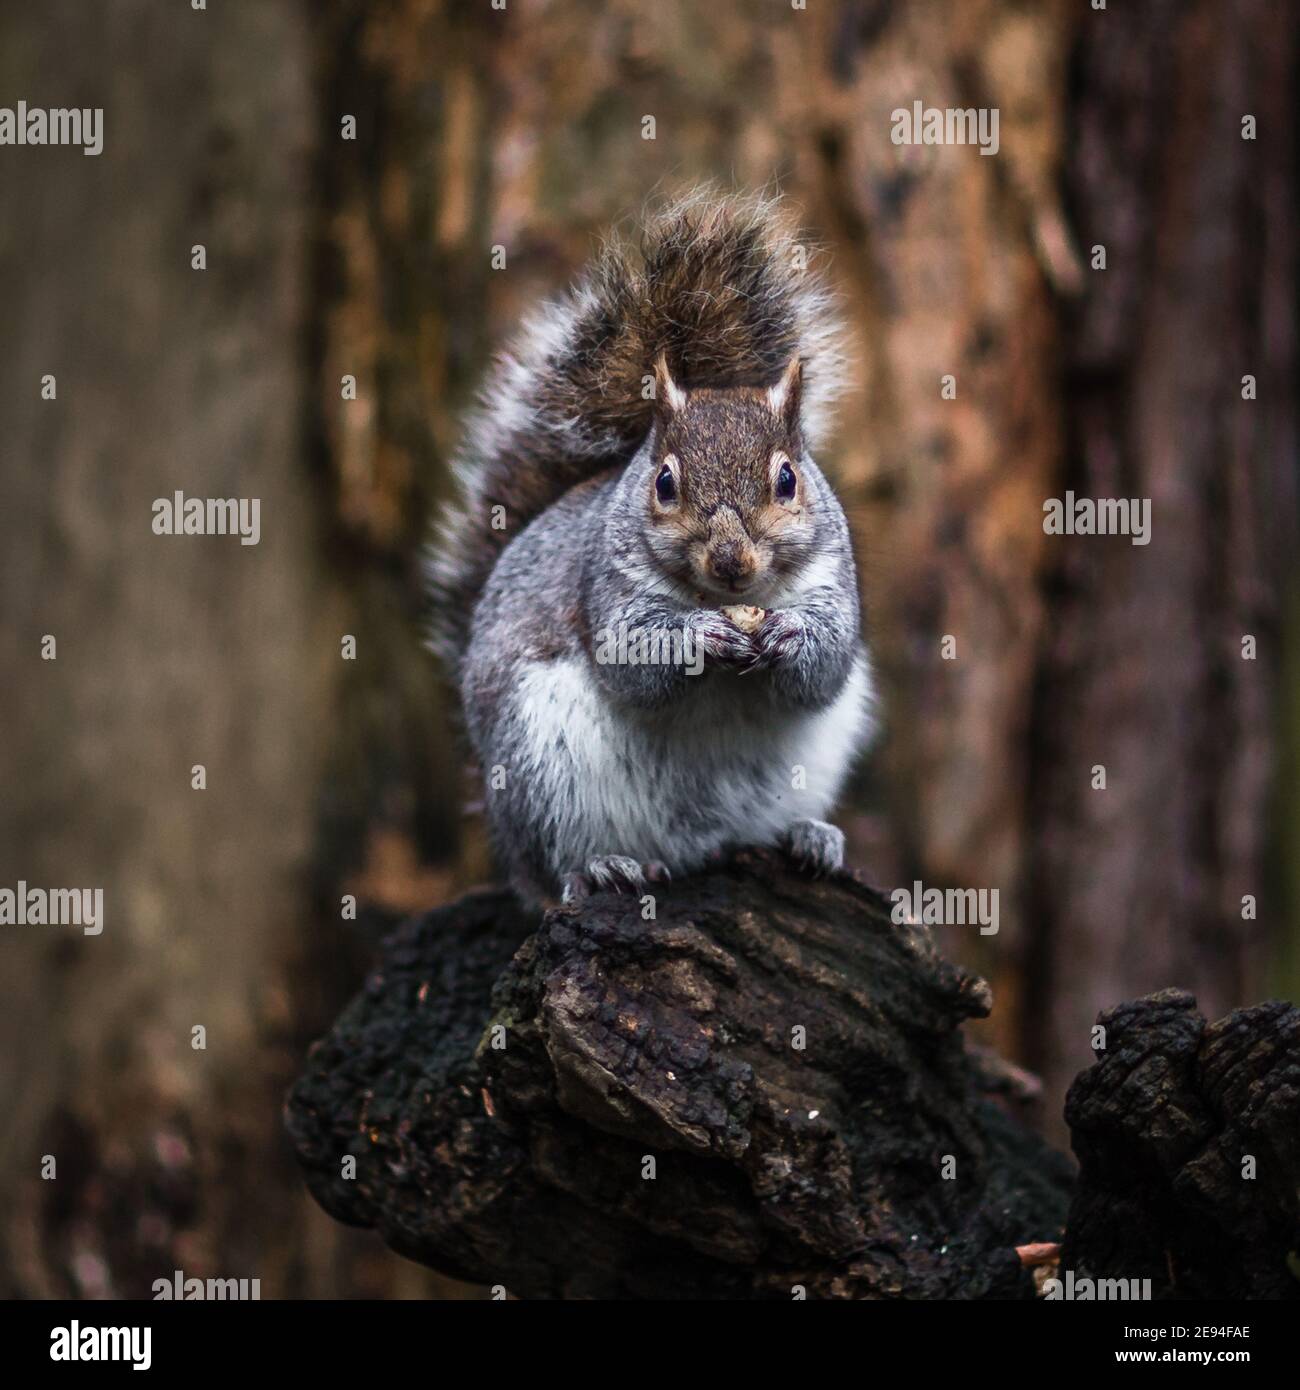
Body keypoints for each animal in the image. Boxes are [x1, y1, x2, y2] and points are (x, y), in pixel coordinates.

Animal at [431, 193, 878, 911]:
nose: (731, 562)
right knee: (546, 871)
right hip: (536, 765)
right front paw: (699, 636)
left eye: (788, 479)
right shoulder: (605, 587)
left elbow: (825, 665)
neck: (726, 598)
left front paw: (788, 634)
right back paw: (596, 869)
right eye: (664, 483)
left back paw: (808, 836)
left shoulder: (833, 583)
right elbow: (633, 659)